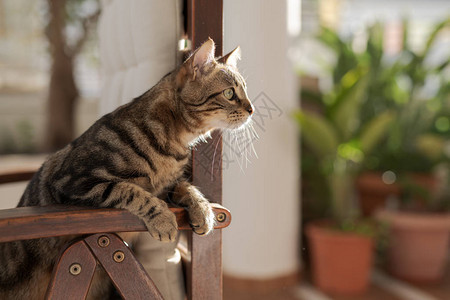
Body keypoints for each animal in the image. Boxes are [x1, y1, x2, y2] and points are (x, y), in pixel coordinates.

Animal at [0, 38, 253, 298]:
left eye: (245, 91)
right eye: (230, 93)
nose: (252, 109)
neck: (174, 142)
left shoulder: (169, 185)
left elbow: (188, 188)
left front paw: (204, 211)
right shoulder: (75, 181)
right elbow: (130, 191)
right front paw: (163, 219)